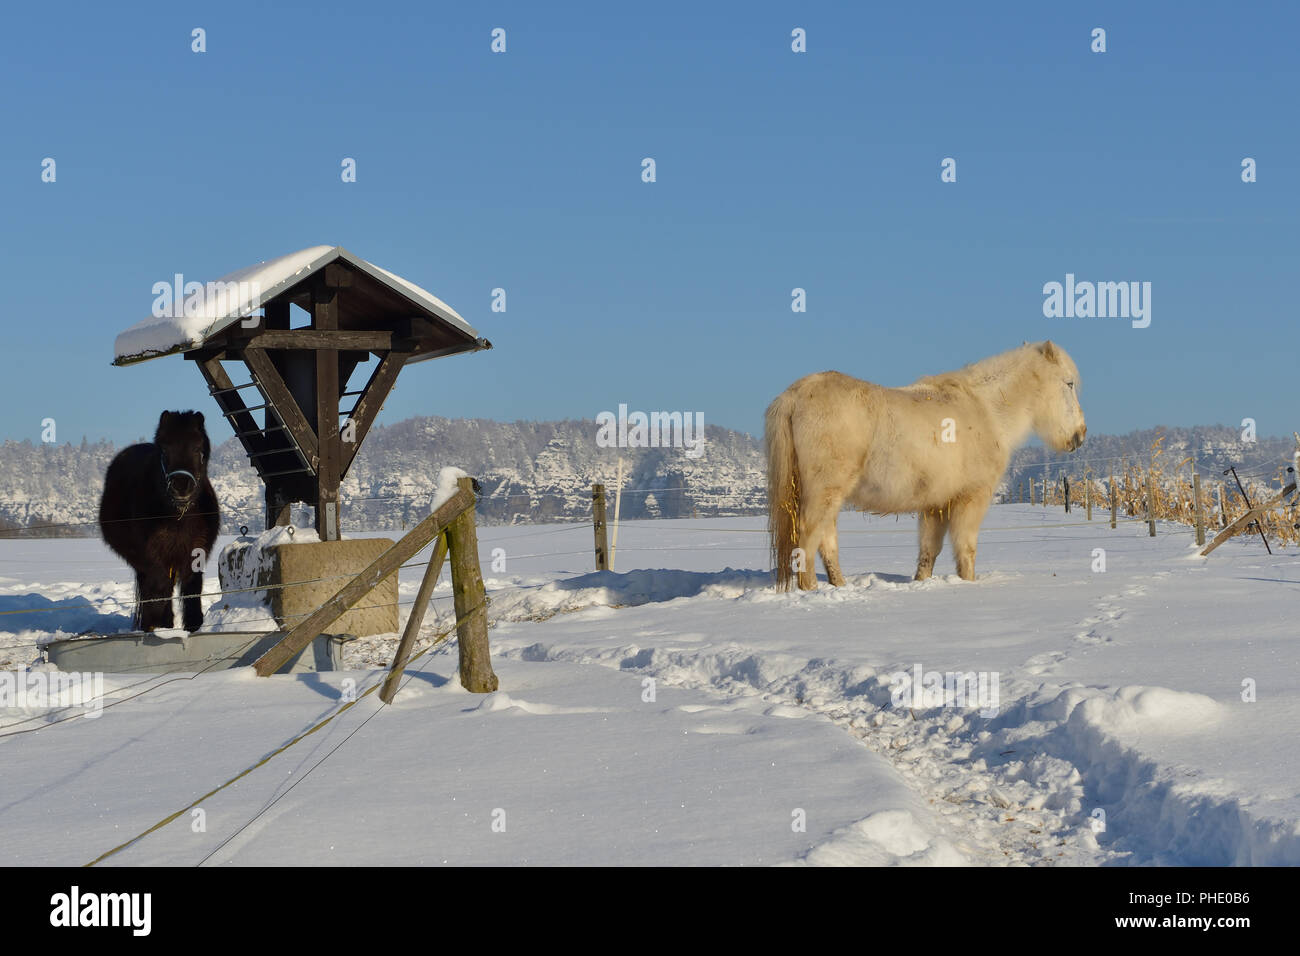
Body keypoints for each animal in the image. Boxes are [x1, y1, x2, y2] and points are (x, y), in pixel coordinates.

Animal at [99, 411, 220, 631]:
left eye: (198, 449)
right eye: (164, 450)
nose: (181, 486)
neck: (177, 518)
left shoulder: (196, 552)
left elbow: (192, 589)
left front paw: (194, 625)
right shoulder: (150, 555)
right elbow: (159, 588)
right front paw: (157, 625)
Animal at [766, 341, 1086, 590]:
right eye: (1068, 384)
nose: (1079, 436)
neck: (987, 411)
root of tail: (795, 394)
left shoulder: (936, 506)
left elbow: (929, 552)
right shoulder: (971, 498)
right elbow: (966, 549)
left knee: (826, 541)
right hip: (825, 491)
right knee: (808, 537)